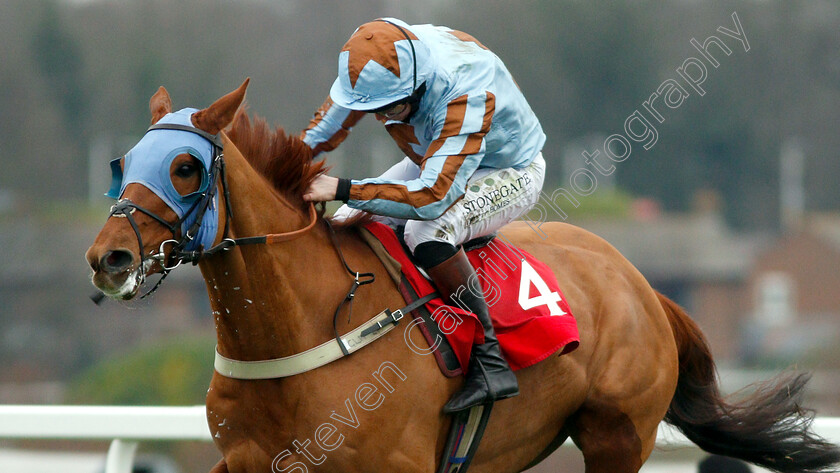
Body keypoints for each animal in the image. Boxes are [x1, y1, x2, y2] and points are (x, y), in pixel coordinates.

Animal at [87, 79, 840, 470]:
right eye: (124, 162)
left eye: (186, 167)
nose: (108, 257)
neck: (300, 329)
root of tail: (639, 283)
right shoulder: (247, 460)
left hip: (619, 433)